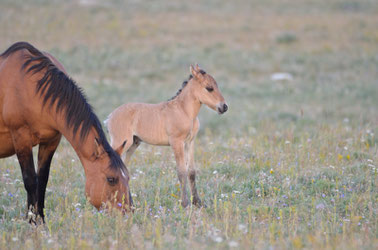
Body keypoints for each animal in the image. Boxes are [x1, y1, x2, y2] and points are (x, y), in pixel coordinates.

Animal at [0, 41, 132, 223]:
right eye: (111, 179)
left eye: (127, 177)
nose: (128, 213)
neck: (30, 88)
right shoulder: (21, 139)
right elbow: (30, 180)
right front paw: (32, 221)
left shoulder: (51, 141)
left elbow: (42, 180)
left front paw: (40, 220)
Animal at [105, 65, 227, 207]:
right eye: (209, 88)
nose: (224, 107)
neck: (184, 111)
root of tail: (109, 117)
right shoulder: (176, 142)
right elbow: (181, 171)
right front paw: (185, 203)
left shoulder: (190, 142)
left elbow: (191, 171)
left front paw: (197, 202)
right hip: (121, 142)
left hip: (133, 144)